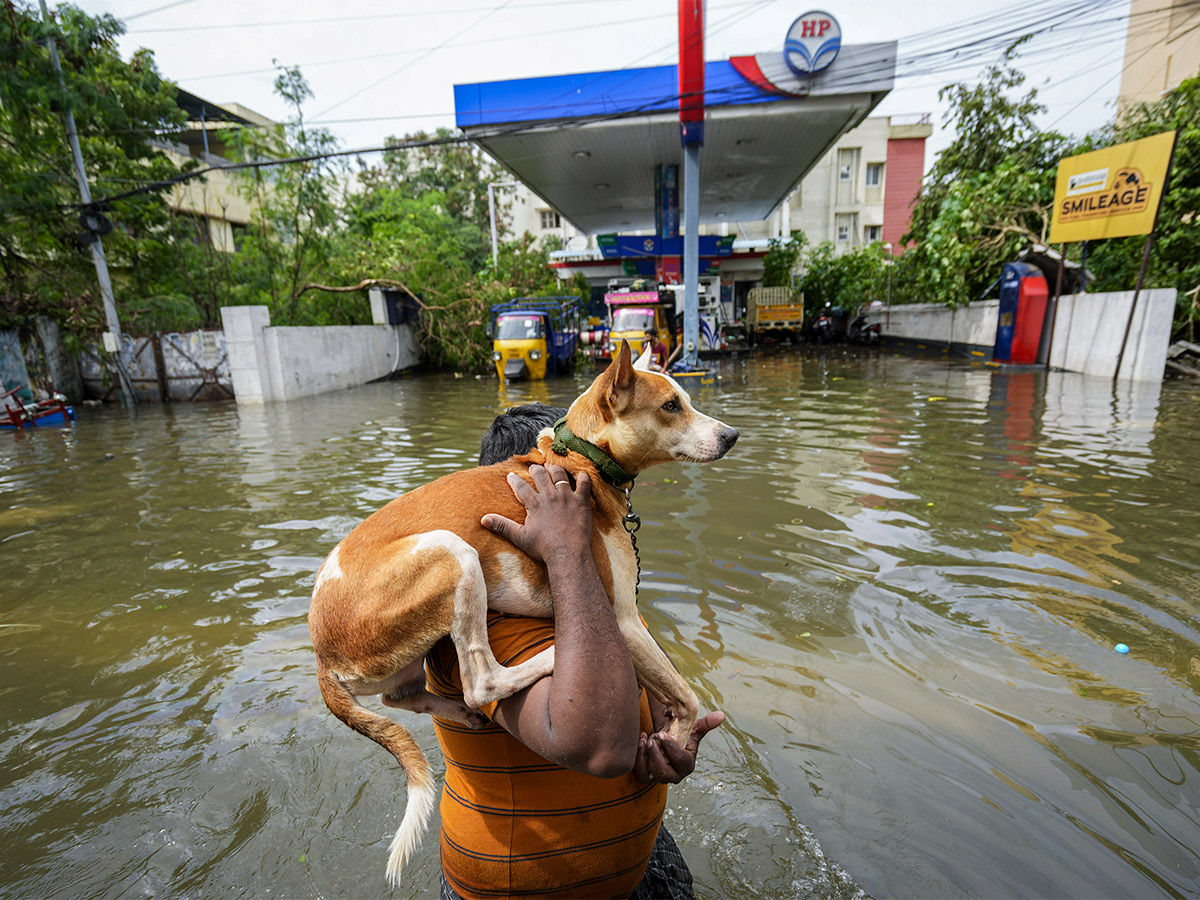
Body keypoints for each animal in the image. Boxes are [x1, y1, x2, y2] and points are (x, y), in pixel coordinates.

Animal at [307, 343, 739, 888]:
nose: (732, 435)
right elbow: (686, 695)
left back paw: (459, 714)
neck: (580, 458)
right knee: (481, 680)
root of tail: (322, 656)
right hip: (454, 552)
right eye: (670, 406)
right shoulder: (621, 619)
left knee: (401, 695)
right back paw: (547, 661)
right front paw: (674, 745)